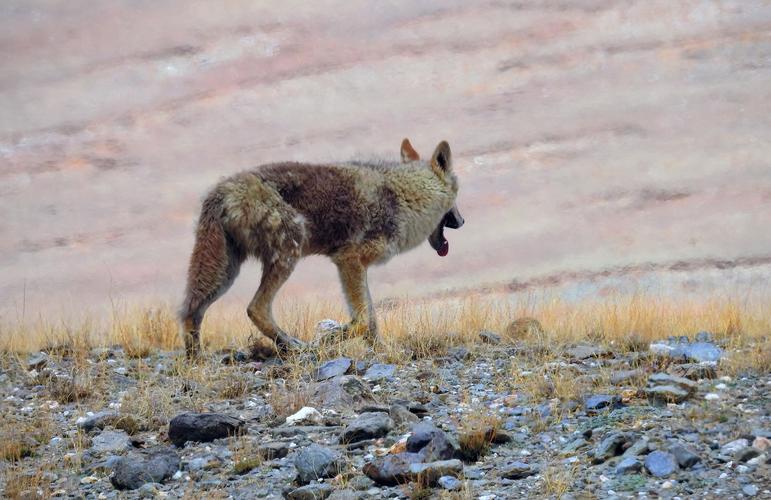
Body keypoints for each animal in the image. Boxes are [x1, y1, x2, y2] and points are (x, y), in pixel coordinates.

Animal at [181, 139, 464, 358]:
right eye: (457, 200)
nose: (462, 221)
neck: (403, 196)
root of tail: (219, 192)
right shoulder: (348, 259)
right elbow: (363, 321)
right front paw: (328, 339)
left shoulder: (355, 266)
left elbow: (372, 319)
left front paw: (381, 351)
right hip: (288, 253)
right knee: (255, 308)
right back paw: (294, 346)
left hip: (225, 273)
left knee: (191, 310)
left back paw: (197, 359)